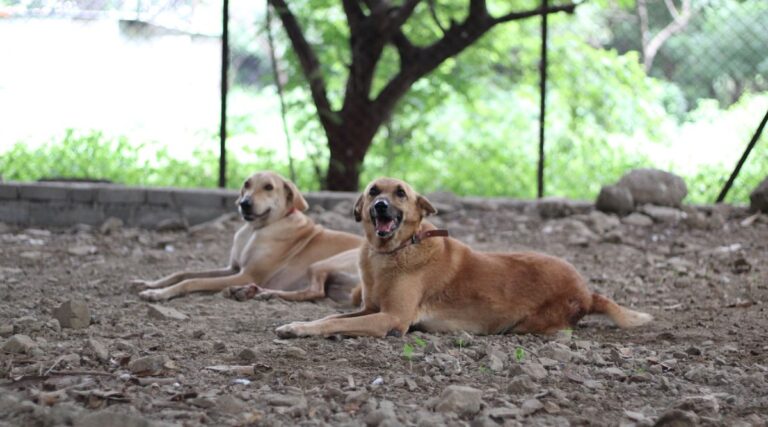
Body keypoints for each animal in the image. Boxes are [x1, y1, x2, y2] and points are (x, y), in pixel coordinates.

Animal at [134, 171, 364, 304]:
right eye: (246, 184)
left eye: (269, 187)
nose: (244, 203)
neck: (256, 229)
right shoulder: (233, 269)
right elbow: (183, 273)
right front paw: (150, 283)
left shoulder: (246, 274)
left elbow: (192, 281)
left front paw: (159, 294)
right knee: (316, 292)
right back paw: (254, 292)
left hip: (325, 264)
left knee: (316, 292)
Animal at [272, 177, 652, 338]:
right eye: (373, 191)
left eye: (400, 193)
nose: (380, 206)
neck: (395, 251)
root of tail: (588, 291)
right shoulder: (370, 309)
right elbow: (331, 316)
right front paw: (296, 325)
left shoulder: (391, 318)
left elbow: (334, 323)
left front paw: (299, 329)